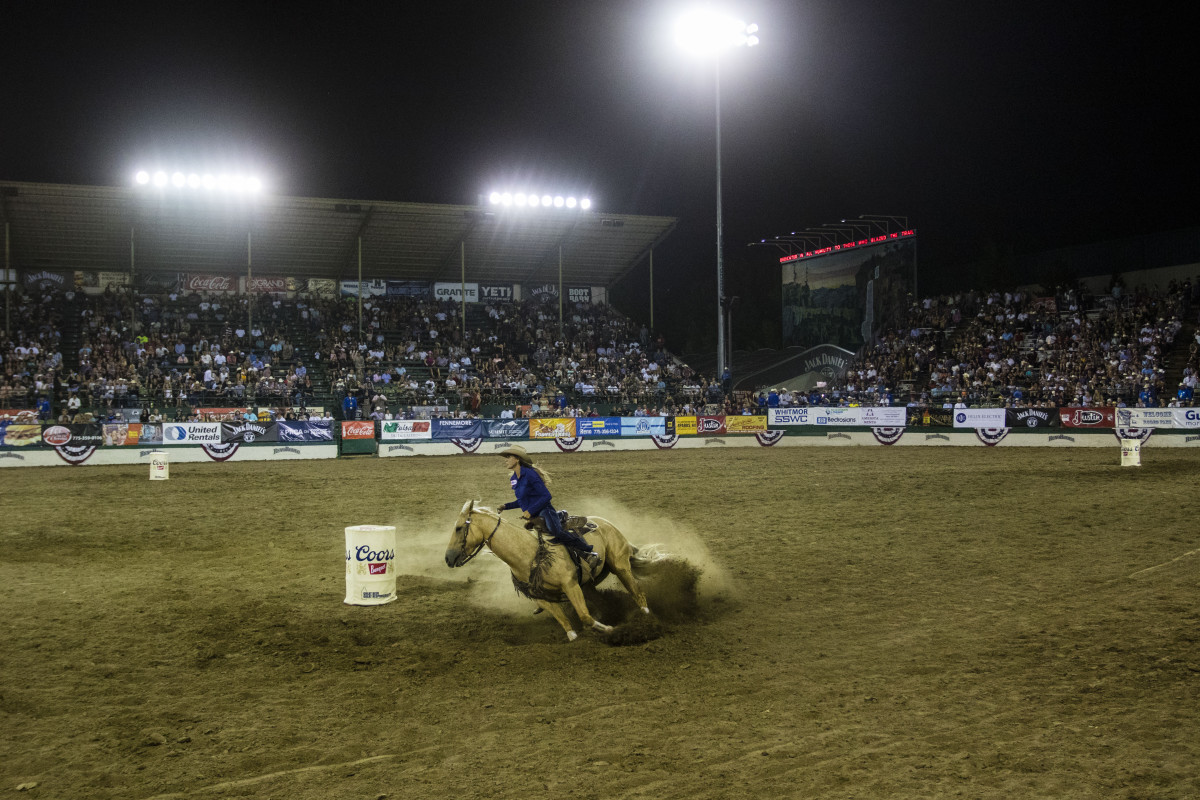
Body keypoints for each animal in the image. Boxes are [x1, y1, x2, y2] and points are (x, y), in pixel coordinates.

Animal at [446, 501, 652, 642]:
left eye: (458, 528)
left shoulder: (570, 585)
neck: (529, 553)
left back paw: (646, 616)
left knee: (638, 591)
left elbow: (585, 616)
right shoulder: (542, 597)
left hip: (620, 565)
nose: (448, 558)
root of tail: (605, 523)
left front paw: (610, 630)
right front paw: (576, 636)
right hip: (589, 583)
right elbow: (567, 625)